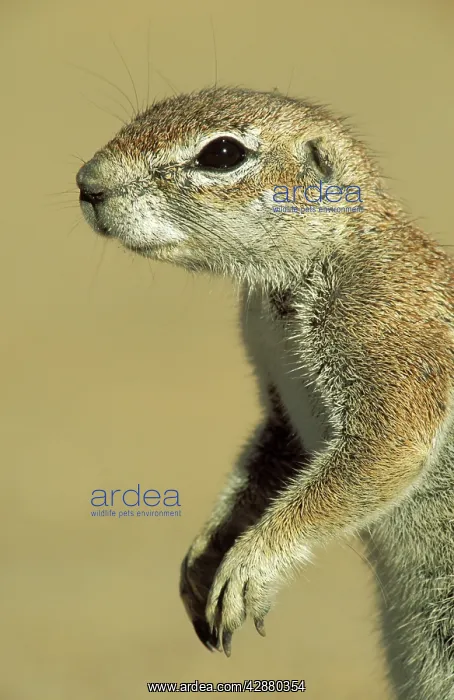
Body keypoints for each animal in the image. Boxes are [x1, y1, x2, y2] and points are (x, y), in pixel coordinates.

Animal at [77, 87, 454, 699]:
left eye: (222, 153)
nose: (87, 183)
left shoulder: (387, 332)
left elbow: (387, 447)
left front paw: (250, 565)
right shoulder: (279, 401)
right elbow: (267, 461)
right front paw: (204, 558)